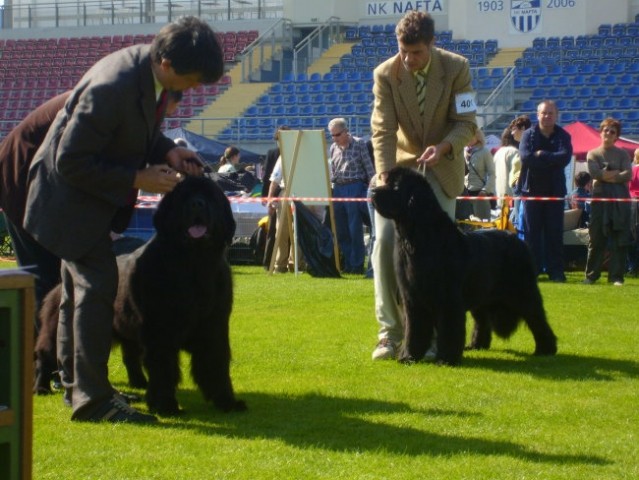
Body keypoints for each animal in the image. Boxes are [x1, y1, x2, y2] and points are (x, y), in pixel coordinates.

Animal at [372, 167, 556, 366]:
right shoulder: (413, 297)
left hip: (523, 291)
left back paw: (546, 349)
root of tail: (518, 240)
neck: (418, 237)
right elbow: (414, 329)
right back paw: (477, 344)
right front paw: (409, 356)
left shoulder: (448, 298)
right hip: (482, 294)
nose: (372, 191)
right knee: (482, 321)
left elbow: (449, 328)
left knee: (537, 318)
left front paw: (446, 358)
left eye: (395, 186)